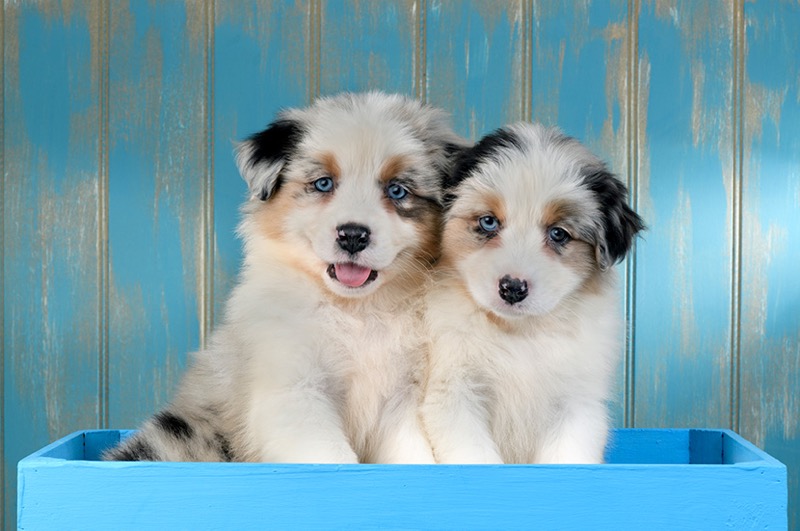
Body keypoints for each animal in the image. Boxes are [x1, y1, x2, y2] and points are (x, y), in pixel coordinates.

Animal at [104, 92, 466, 466]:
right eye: (323, 183)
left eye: (397, 190)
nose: (352, 236)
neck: (355, 309)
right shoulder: (295, 393)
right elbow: (332, 458)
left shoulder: (400, 401)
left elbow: (415, 460)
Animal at [422, 122, 648, 464]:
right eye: (488, 222)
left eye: (559, 233)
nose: (512, 288)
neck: (521, 332)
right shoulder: (454, 393)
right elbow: (475, 456)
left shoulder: (576, 402)